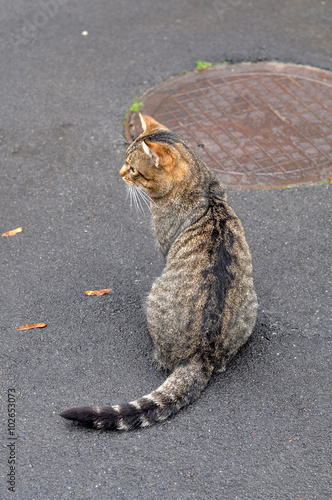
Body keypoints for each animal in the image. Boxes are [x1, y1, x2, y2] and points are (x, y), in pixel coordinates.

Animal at [59, 113, 258, 430]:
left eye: (133, 168)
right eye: (125, 163)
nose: (119, 173)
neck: (203, 191)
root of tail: (201, 355)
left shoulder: (165, 244)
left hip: (155, 296)